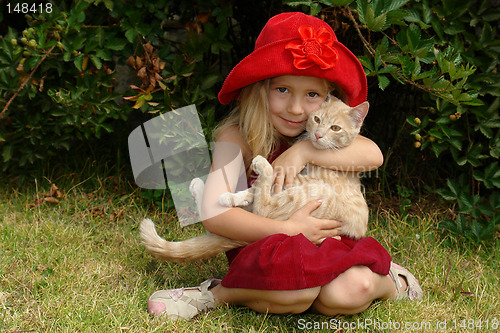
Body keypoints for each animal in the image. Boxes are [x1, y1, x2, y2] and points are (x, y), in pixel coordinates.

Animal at [141, 96, 372, 262]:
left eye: (335, 128)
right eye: (317, 120)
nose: (318, 135)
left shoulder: (302, 182)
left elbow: (262, 193)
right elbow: (251, 191)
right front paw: (233, 197)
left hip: (313, 194)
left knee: (264, 209)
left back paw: (259, 166)